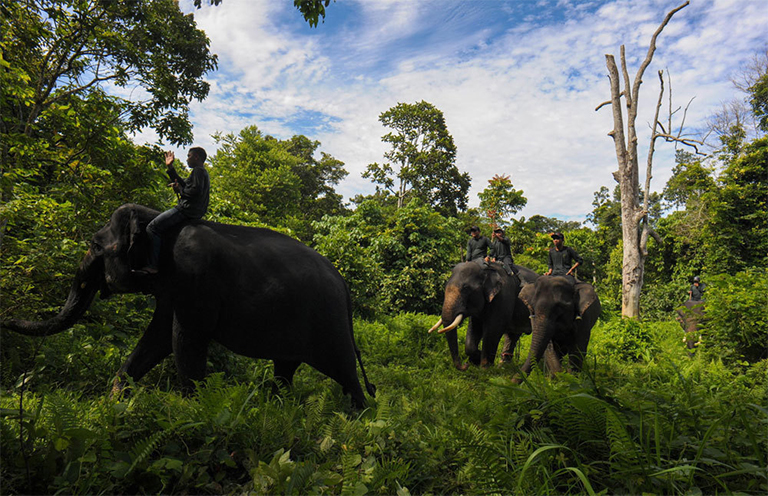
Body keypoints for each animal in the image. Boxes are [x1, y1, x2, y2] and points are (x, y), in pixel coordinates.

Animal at [4, 203, 376, 408]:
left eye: (96, 245)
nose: (5, 319)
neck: (158, 218)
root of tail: (343, 284)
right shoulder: (171, 289)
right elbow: (156, 340)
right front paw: (113, 405)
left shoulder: (193, 279)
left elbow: (184, 340)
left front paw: (193, 410)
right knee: (285, 368)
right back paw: (278, 408)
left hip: (329, 323)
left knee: (345, 372)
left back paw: (359, 417)